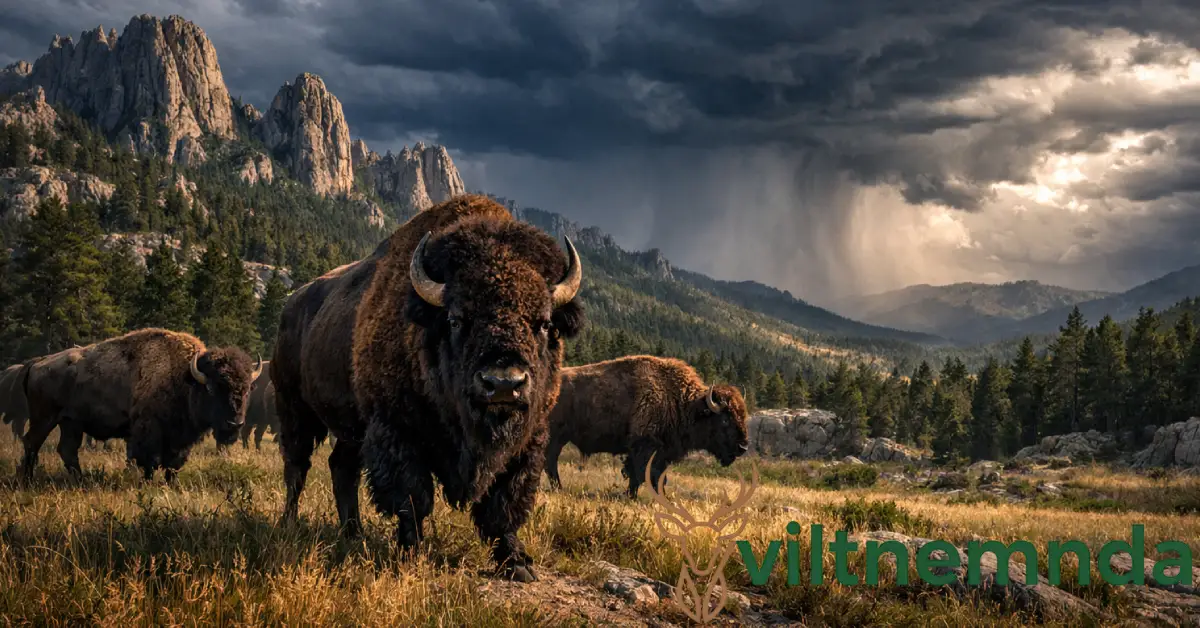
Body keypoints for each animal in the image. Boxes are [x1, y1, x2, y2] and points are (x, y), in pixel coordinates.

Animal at [21, 328, 261, 482]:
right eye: (212, 388)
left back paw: (79, 480)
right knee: (32, 442)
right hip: (44, 418)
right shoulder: (149, 432)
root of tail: (37, 363)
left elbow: (174, 464)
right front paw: (147, 483)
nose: (234, 423)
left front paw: (171, 485)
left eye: (247, 389)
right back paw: (27, 480)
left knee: (67, 450)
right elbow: (150, 460)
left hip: (70, 423)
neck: (183, 378)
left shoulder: (180, 440)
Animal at [273, 194, 584, 582]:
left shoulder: (527, 442)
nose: (503, 384)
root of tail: (291, 303)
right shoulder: (397, 433)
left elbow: (505, 503)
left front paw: (517, 563)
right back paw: (289, 524)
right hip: (295, 409)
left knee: (340, 467)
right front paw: (411, 554)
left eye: (542, 323)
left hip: (351, 429)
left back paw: (353, 532)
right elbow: (412, 499)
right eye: (456, 319)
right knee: (297, 468)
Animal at [545, 355, 750, 497]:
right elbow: (649, 474)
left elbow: (644, 475)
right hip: (555, 436)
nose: (743, 446)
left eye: (742, 417)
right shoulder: (646, 446)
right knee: (550, 461)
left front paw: (632, 495)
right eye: (725, 420)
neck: (682, 402)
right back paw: (558, 488)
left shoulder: (661, 452)